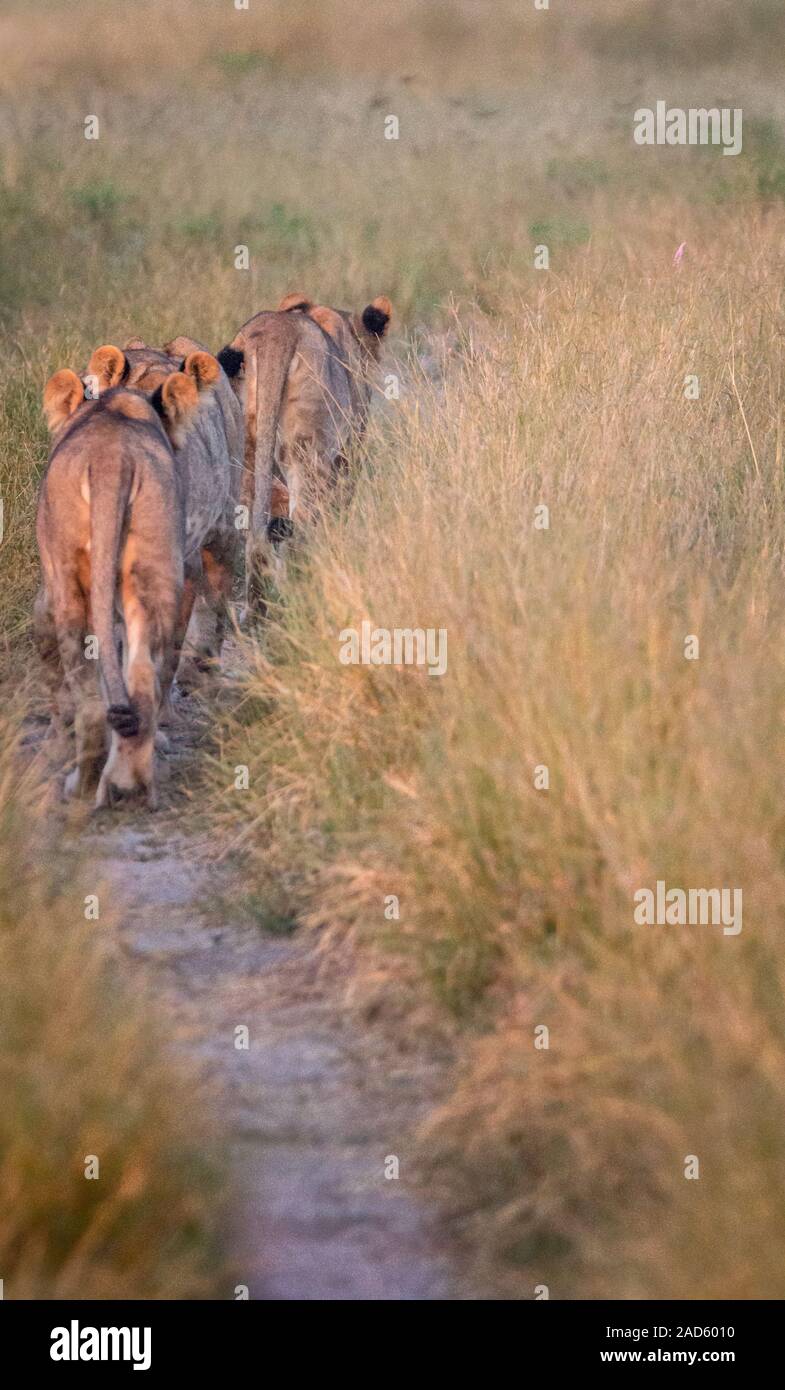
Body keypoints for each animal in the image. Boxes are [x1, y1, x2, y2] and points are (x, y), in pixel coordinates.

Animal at [34, 369, 207, 811]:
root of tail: (114, 458)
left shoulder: (46, 592)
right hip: (155, 565)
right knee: (143, 679)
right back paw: (132, 789)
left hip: (67, 581)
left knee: (91, 703)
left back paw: (81, 788)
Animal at [215, 293, 389, 608]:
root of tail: (273, 336)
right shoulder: (348, 452)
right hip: (306, 450)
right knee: (301, 527)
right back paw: (303, 592)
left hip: (246, 449)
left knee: (254, 535)